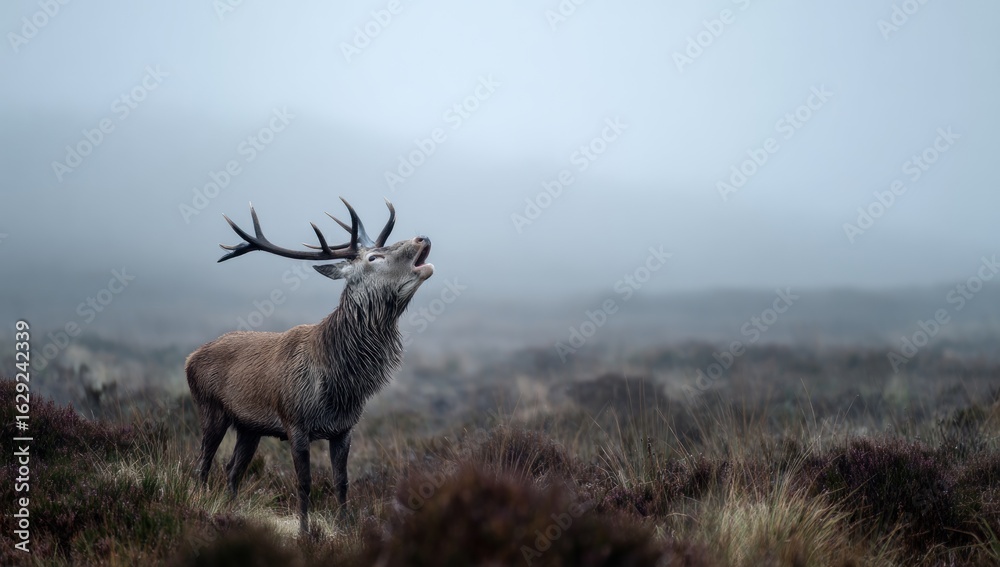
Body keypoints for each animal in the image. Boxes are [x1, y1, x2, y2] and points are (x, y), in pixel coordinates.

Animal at [185, 198, 433, 534]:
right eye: (374, 257)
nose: (422, 238)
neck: (339, 381)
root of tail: (190, 358)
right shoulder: (296, 423)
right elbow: (304, 484)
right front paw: (304, 532)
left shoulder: (344, 429)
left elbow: (342, 482)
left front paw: (345, 527)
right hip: (211, 409)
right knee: (203, 463)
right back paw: (201, 504)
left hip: (249, 427)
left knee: (233, 468)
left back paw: (232, 512)